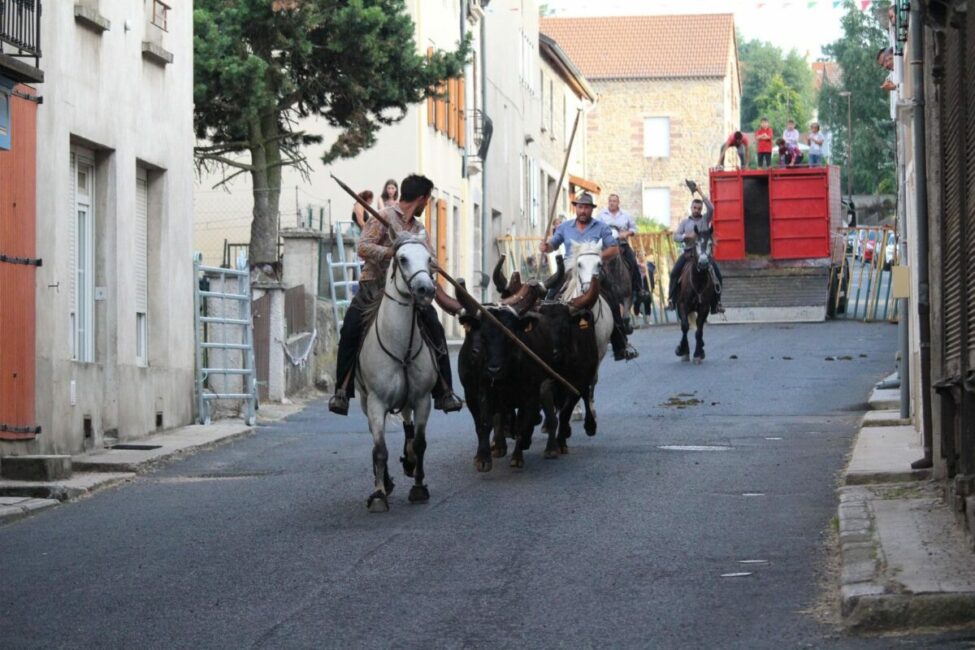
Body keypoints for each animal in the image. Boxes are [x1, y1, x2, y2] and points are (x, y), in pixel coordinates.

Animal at [354, 234, 438, 512]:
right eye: (402, 259)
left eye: (429, 259)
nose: (426, 290)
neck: (400, 347)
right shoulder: (376, 402)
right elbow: (379, 448)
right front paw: (379, 494)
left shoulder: (423, 399)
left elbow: (420, 443)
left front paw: (419, 488)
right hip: (364, 400)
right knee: (374, 436)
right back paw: (385, 481)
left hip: (409, 399)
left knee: (407, 422)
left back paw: (409, 460)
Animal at [676, 225, 720, 362]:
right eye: (696, 243)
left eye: (710, 244)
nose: (703, 263)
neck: (698, 281)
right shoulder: (682, 305)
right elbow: (685, 326)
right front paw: (682, 350)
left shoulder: (704, 308)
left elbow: (699, 330)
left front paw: (697, 354)